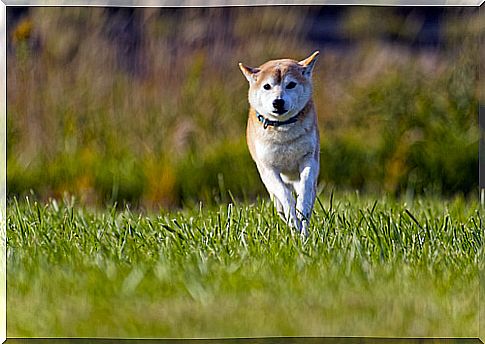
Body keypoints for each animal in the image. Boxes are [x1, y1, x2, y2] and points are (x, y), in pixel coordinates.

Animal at [239, 51, 322, 236]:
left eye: (290, 84)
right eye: (267, 86)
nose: (278, 101)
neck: (283, 129)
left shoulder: (309, 159)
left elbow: (304, 190)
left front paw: (301, 209)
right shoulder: (268, 168)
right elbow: (285, 195)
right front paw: (292, 215)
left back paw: (304, 233)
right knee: (280, 203)